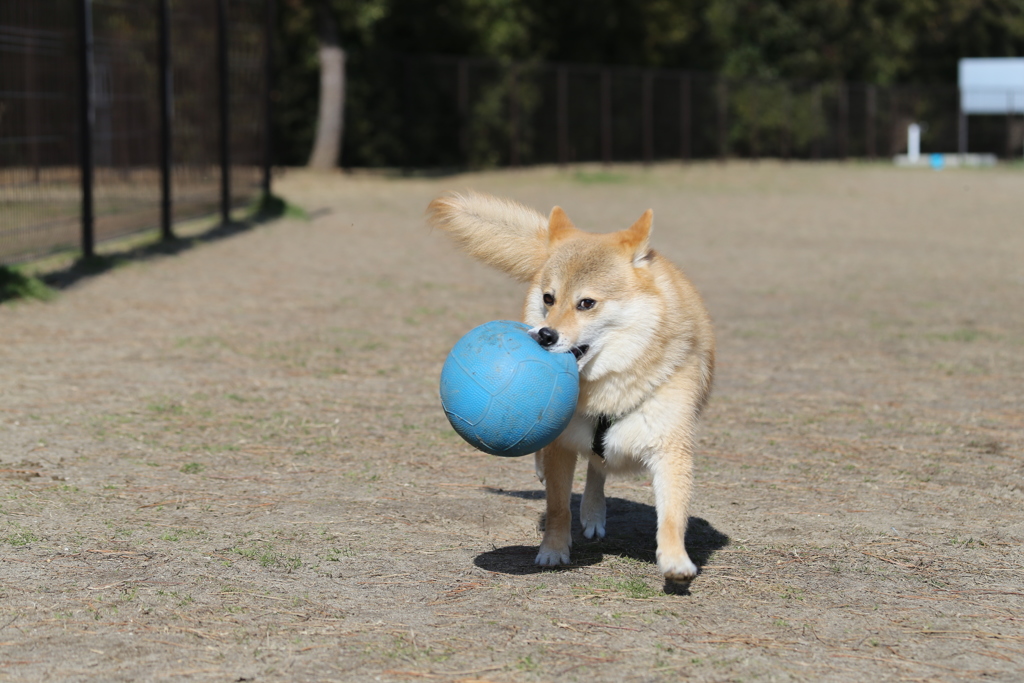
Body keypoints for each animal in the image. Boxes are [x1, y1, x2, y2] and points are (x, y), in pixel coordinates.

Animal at [428, 191, 716, 581]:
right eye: (548, 298)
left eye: (587, 303)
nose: (545, 335)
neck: (605, 388)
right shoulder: (561, 444)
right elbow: (557, 507)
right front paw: (553, 551)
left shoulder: (669, 445)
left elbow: (671, 514)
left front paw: (675, 562)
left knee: (598, 468)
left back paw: (594, 513)